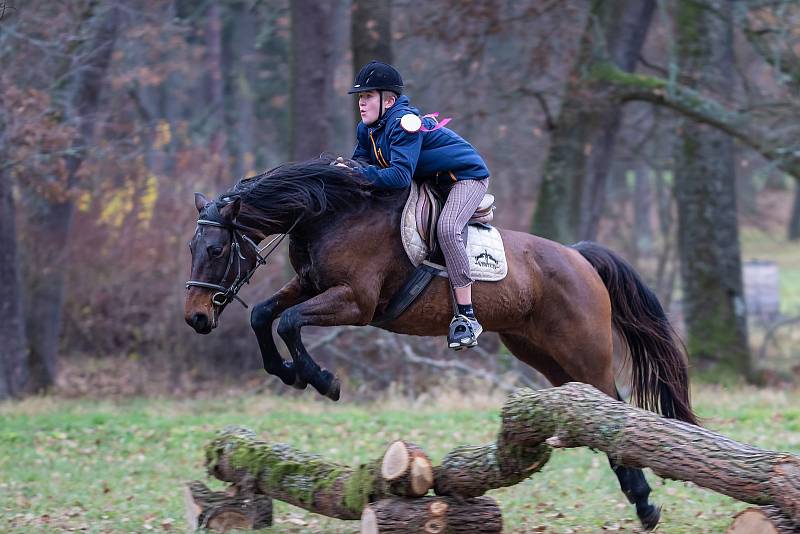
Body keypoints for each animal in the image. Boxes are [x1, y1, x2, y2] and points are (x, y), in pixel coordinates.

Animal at [184, 156, 696, 532]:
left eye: (215, 250)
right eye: (192, 249)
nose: (196, 318)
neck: (328, 214)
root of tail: (578, 256)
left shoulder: (354, 301)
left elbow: (289, 322)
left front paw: (322, 380)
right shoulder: (310, 285)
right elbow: (263, 314)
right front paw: (288, 373)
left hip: (582, 349)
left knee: (614, 406)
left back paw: (644, 504)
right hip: (540, 352)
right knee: (589, 404)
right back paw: (640, 501)